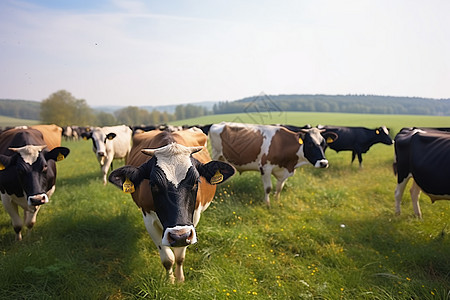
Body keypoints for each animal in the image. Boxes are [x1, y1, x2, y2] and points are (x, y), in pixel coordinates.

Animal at [109, 127, 236, 282]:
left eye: (196, 182)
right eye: (153, 184)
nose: (179, 236)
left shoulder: (192, 221)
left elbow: (180, 256)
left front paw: (180, 279)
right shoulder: (148, 220)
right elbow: (168, 258)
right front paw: (170, 281)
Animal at [207, 122, 338, 206]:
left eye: (324, 143)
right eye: (310, 143)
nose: (323, 163)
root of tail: (218, 123)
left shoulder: (284, 171)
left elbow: (279, 188)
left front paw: (277, 201)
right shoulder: (265, 168)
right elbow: (268, 188)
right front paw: (267, 204)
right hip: (216, 154)